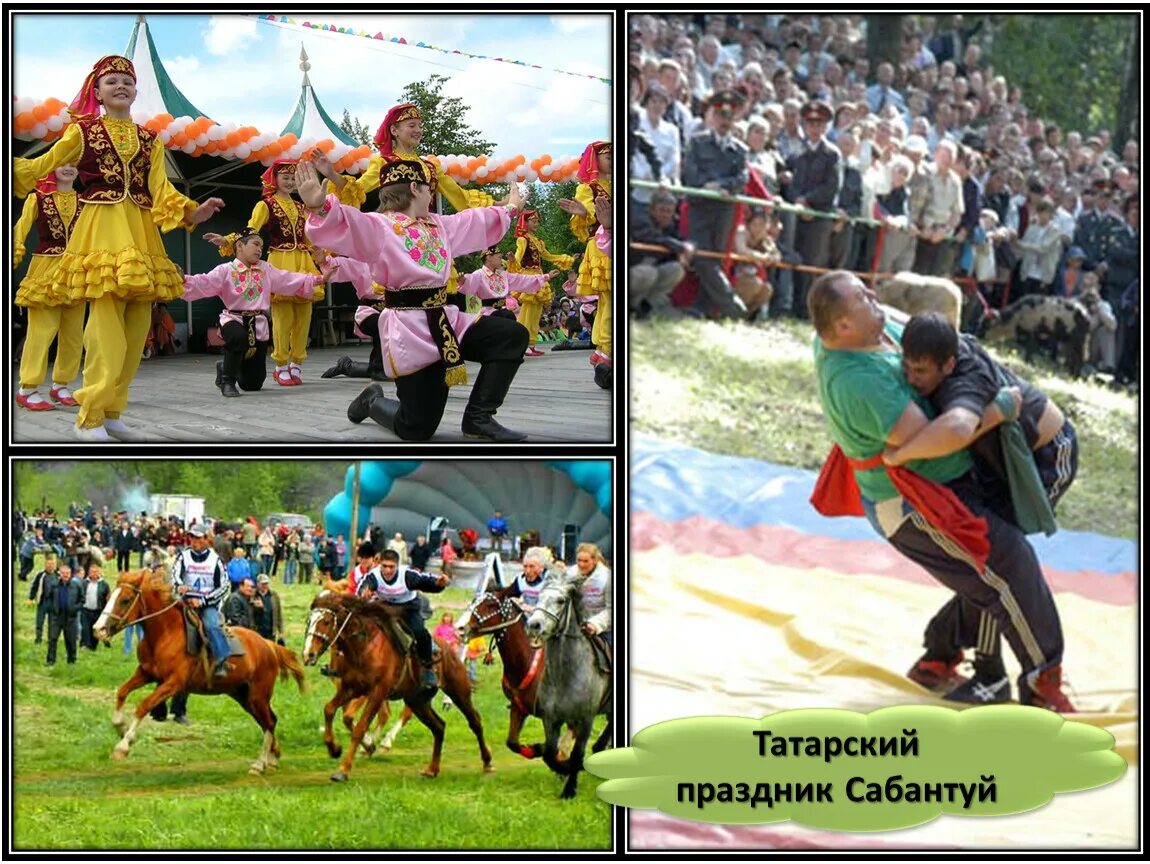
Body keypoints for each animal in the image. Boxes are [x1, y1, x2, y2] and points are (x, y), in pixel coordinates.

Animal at [92, 570, 305, 773]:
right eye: (110, 596)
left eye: (125, 600)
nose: (98, 629)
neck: (165, 633)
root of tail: (269, 644)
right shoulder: (146, 673)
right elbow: (122, 692)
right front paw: (120, 726)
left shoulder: (173, 683)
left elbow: (143, 705)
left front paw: (123, 745)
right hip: (244, 696)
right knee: (268, 720)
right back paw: (273, 758)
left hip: (258, 695)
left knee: (269, 722)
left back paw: (259, 764)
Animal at [301, 593, 489, 782]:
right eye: (309, 621)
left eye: (326, 622)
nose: (308, 654)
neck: (363, 646)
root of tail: (449, 649)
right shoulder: (351, 688)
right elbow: (329, 709)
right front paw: (334, 748)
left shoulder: (377, 692)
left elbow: (360, 727)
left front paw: (343, 769)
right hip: (417, 701)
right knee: (439, 726)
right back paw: (432, 769)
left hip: (458, 690)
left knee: (474, 721)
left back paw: (487, 762)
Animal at [524, 570, 611, 800]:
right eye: (539, 595)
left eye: (561, 600)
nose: (533, 625)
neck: (564, 676)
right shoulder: (551, 718)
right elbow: (549, 753)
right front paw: (561, 769)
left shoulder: (586, 720)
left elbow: (577, 753)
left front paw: (569, 790)